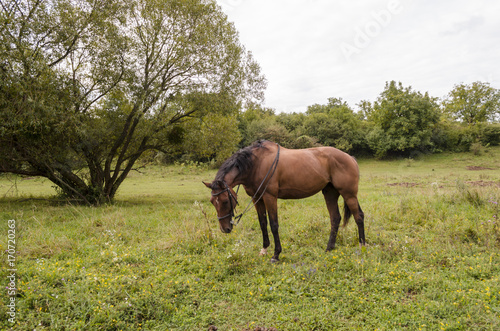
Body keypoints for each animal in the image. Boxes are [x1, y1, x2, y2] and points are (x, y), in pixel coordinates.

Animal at [202, 139, 364, 262]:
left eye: (224, 201)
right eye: (212, 201)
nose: (225, 229)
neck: (256, 164)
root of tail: (350, 157)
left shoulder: (270, 197)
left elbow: (274, 225)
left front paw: (276, 254)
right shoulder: (257, 198)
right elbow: (263, 223)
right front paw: (264, 249)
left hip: (349, 194)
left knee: (358, 217)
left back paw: (362, 245)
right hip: (330, 193)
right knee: (335, 218)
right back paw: (329, 248)